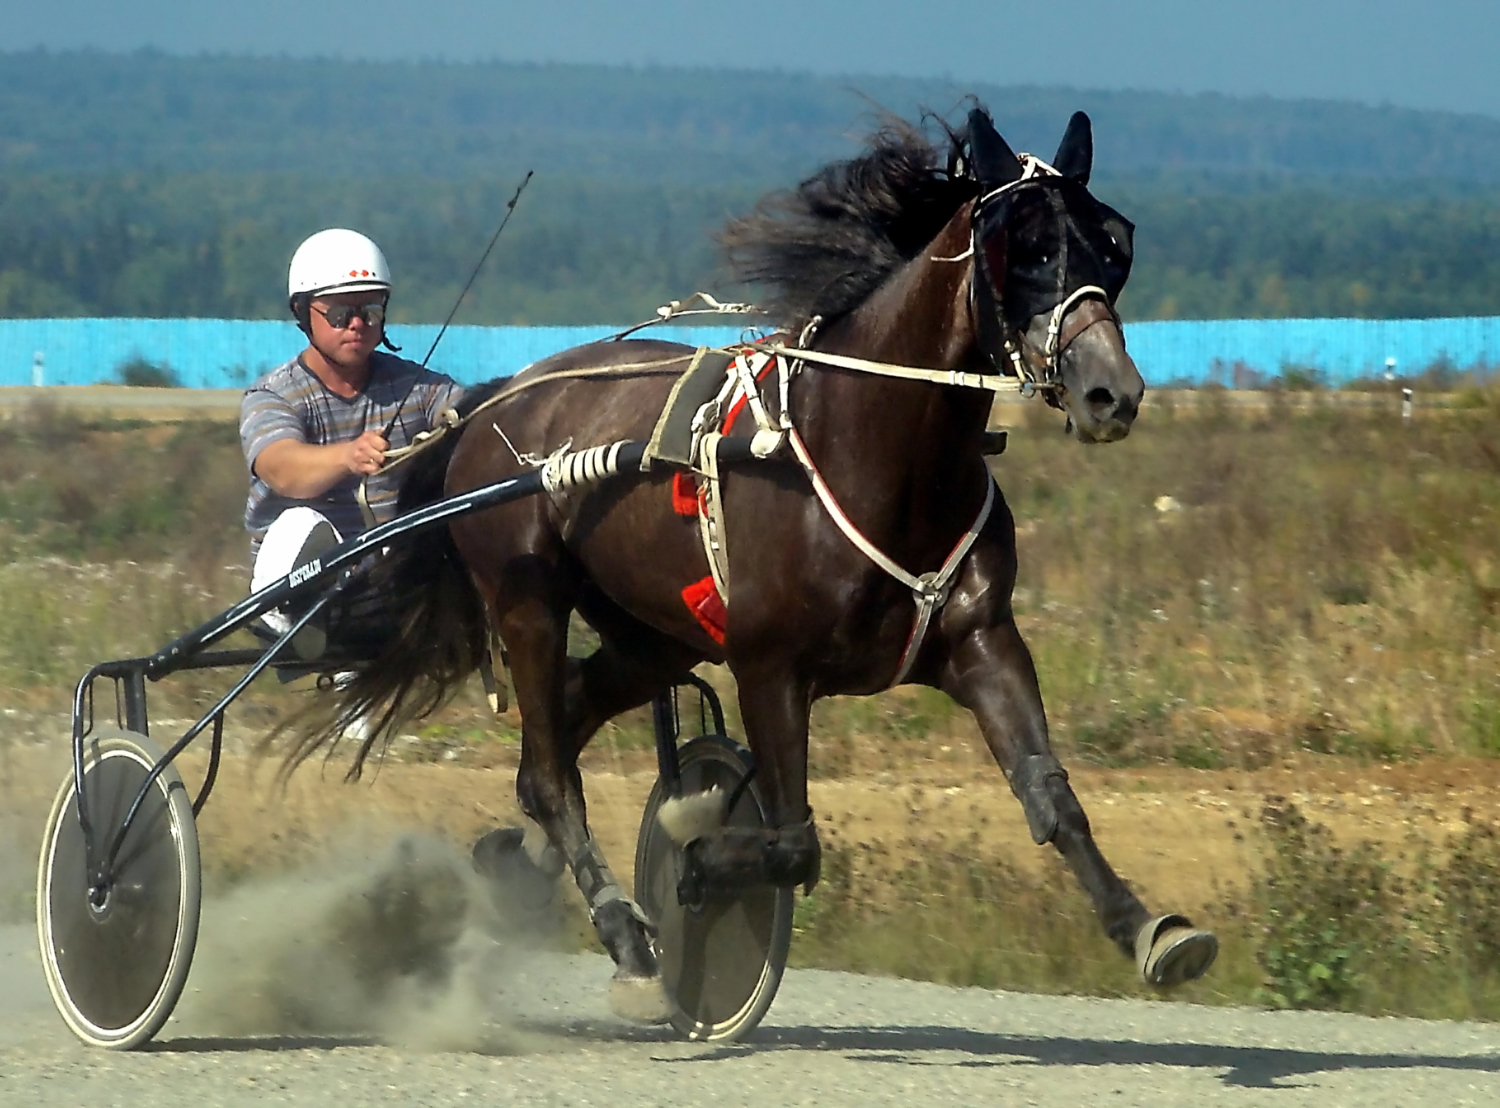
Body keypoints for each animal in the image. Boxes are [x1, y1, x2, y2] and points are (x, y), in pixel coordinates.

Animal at [307, 106, 1218, 1025]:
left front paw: (1149, 928)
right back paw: (626, 936)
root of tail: (489, 401)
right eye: (1023, 247)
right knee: (551, 771)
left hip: (650, 634)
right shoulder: (769, 666)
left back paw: (520, 866)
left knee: (558, 730)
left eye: (1113, 244)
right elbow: (792, 843)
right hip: (527, 599)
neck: (869, 449)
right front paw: (695, 861)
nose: (1111, 392)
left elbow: (1050, 795)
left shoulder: (982, 640)